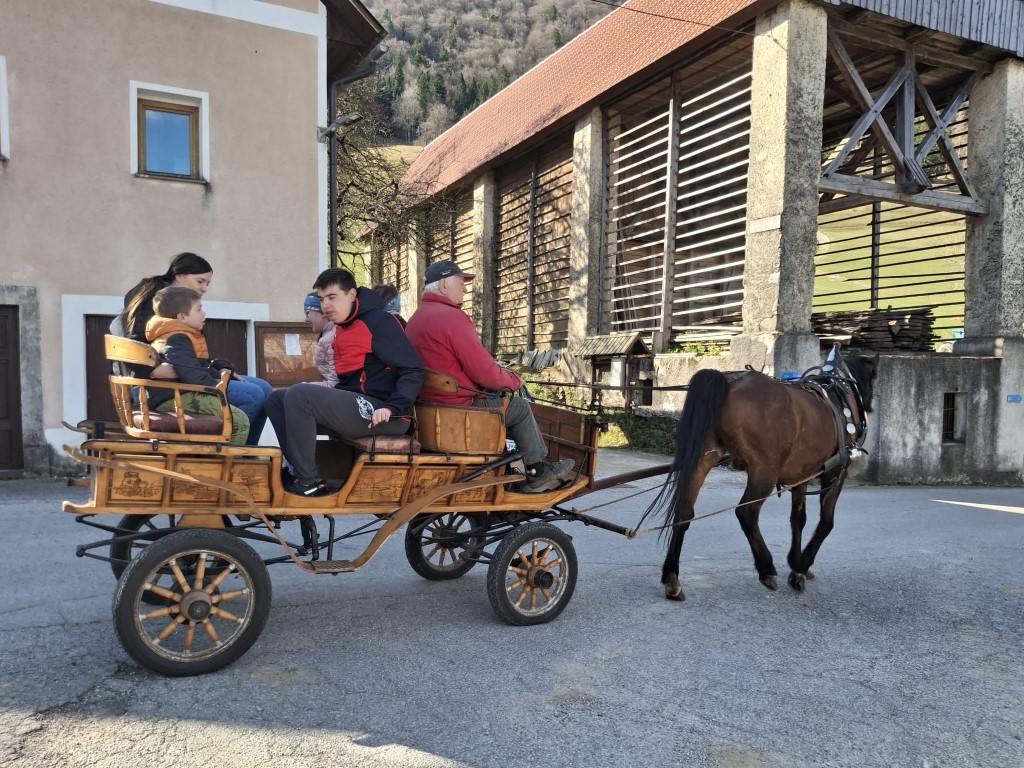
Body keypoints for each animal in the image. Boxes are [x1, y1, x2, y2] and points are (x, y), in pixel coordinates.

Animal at [647, 351, 878, 601]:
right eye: (874, 379)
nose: (870, 408)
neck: (840, 395)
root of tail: (731, 382)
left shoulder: (802, 476)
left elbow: (799, 519)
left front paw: (796, 562)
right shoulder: (835, 474)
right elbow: (826, 523)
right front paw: (801, 567)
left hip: (704, 458)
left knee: (684, 511)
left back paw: (672, 577)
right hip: (764, 471)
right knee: (746, 513)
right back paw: (766, 568)